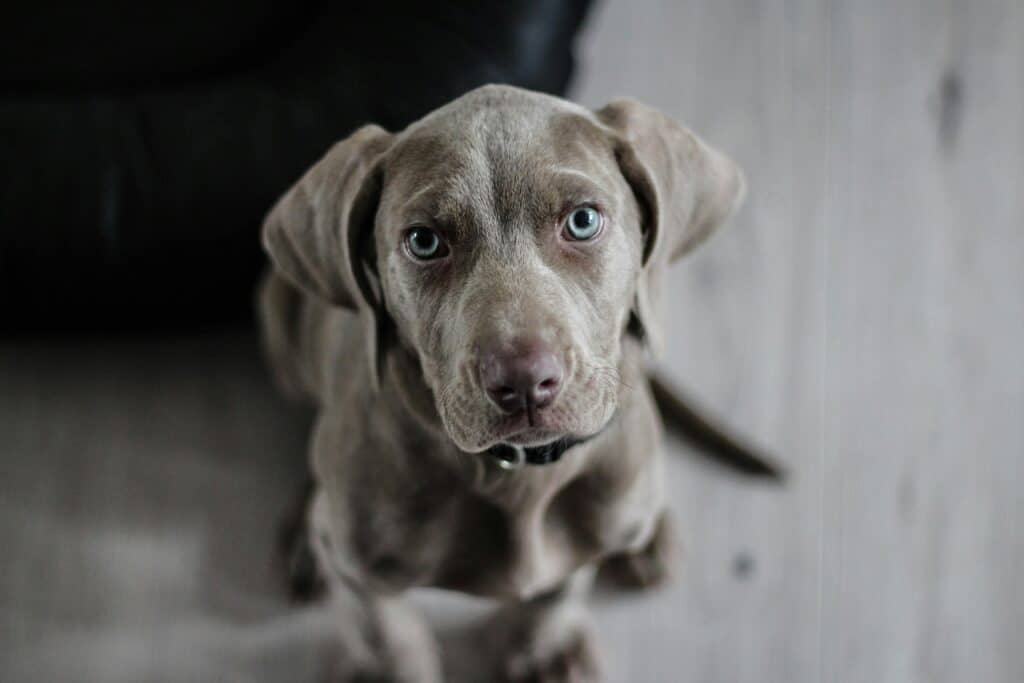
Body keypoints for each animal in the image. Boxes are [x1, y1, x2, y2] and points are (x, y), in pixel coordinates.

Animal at [260, 82, 765, 679]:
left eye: (583, 221)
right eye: (424, 241)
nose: (524, 382)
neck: (518, 475)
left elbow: (559, 588)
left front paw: (546, 648)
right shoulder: (361, 570)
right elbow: (385, 631)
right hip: (277, 317)